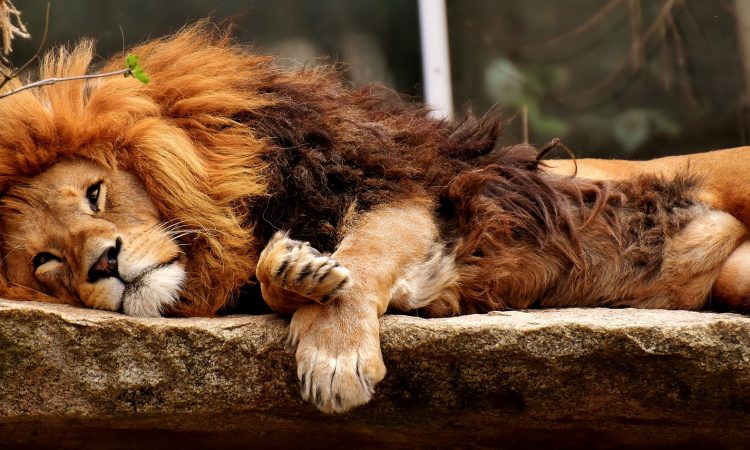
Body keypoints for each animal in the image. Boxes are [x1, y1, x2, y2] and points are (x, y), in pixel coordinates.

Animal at [0, 23, 749, 414]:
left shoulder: (413, 189)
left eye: (95, 194)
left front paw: (332, 354)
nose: (103, 264)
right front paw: (296, 268)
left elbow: (364, 260)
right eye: (46, 261)